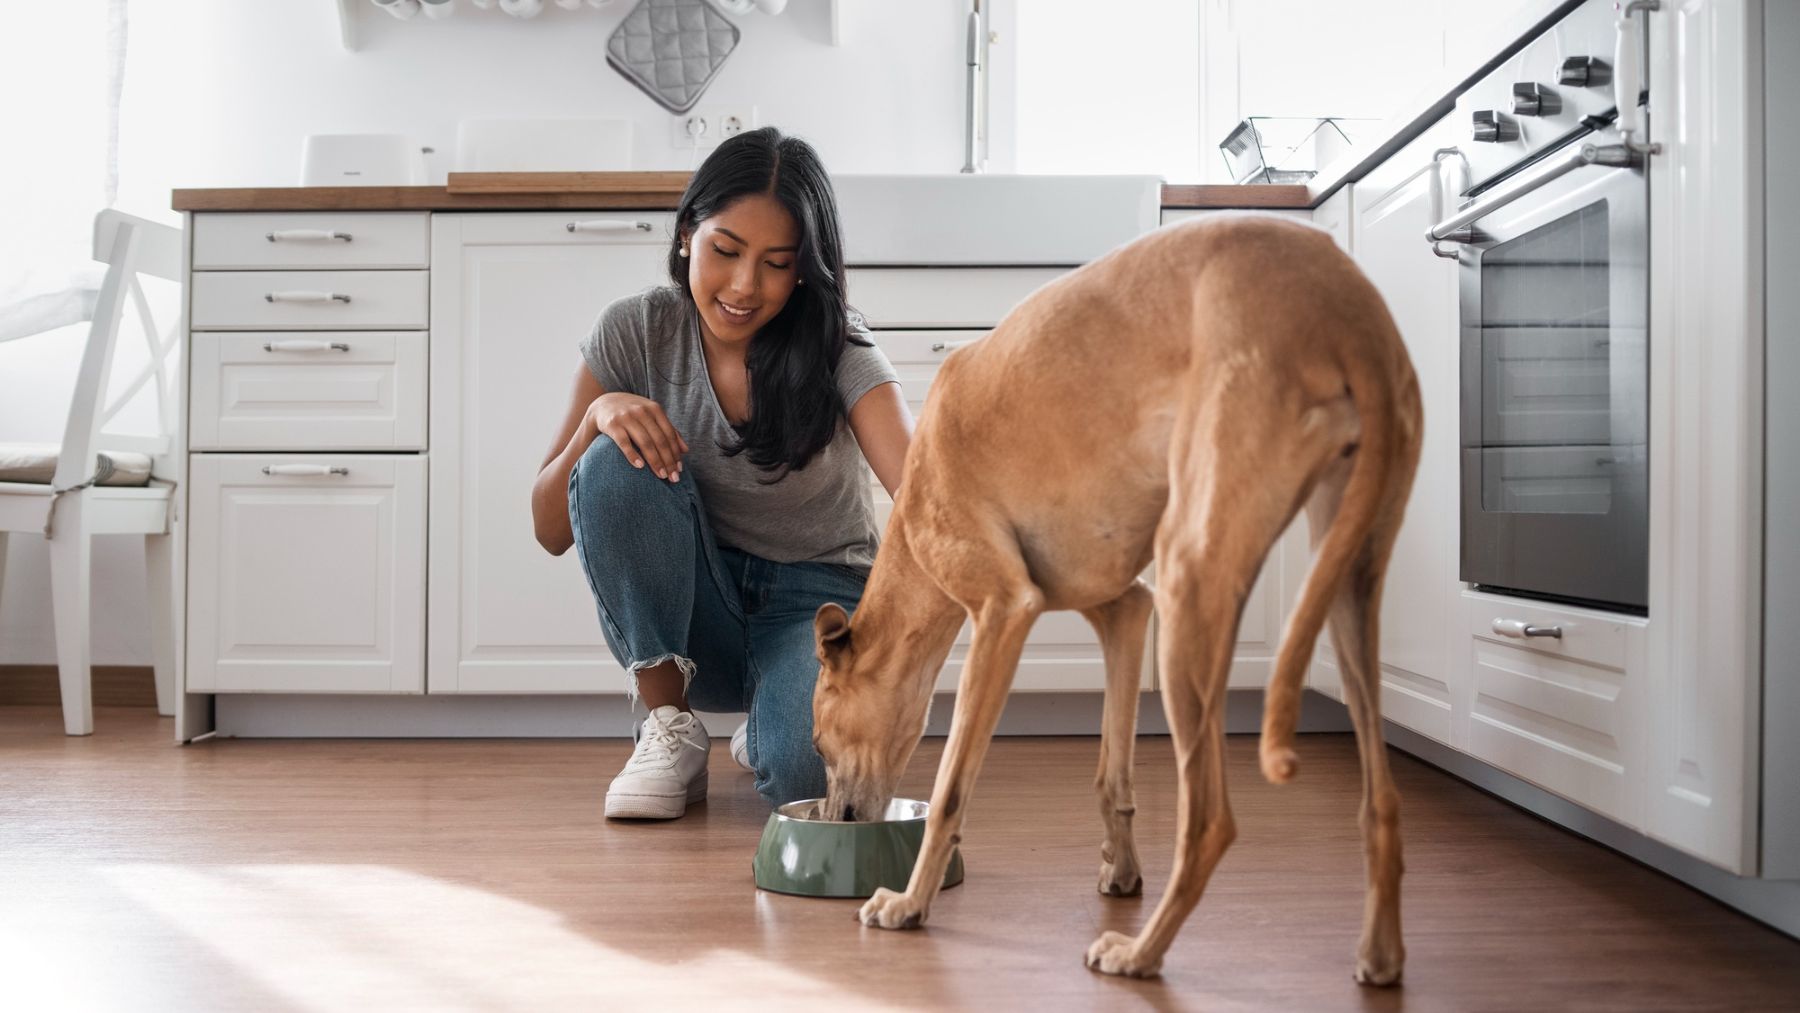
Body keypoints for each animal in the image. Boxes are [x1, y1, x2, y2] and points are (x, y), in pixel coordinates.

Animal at [813, 214, 1418, 986]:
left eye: (819, 739)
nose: (835, 820)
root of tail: (1348, 313)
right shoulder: (1126, 611)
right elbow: (1112, 774)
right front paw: (1121, 870)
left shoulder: (1004, 611)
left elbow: (951, 788)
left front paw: (910, 904)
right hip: (1346, 582)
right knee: (1381, 798)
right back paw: (1379, 952)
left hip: (1194, 587)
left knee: (1210, 820)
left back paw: (1139, 952)